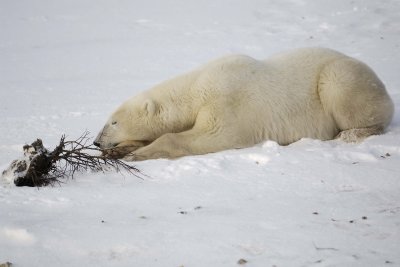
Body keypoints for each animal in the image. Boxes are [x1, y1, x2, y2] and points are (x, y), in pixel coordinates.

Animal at [94, 48, 394, 161]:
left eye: (114, 121)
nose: (97, 141)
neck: (197, 88)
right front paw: (120, 150)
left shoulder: (227, 101)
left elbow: (212, 135)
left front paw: (137, 154)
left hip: (341, 77)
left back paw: (350, 133)